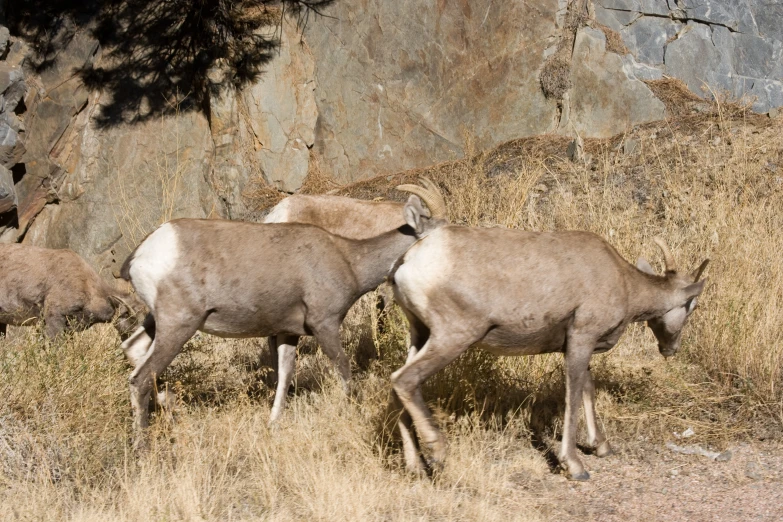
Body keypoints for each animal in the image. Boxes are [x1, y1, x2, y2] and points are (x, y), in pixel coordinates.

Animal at [118, 179, 448, 442]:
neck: (349, 260)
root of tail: (143, 253)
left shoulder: (287, 333)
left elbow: (285, 375)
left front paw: (273, 423)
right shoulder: (325, 325)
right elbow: (343, 369)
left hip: (157, 323)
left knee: (133, 348)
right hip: (179, 326)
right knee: (140, 378)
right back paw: (141, 446)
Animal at [388, 228, 708, 480]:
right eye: (691, 306)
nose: (670, 349)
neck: (625, 284)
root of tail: (407, 262)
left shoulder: (579, 345)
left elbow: (588, 389)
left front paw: (602, 447)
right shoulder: (581, 338)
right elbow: (573, 395)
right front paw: (575, 466)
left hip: (420, 334)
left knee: (395, 386)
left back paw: (416, 467)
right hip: (453, 336)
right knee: (405, 380)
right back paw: (438, 452)